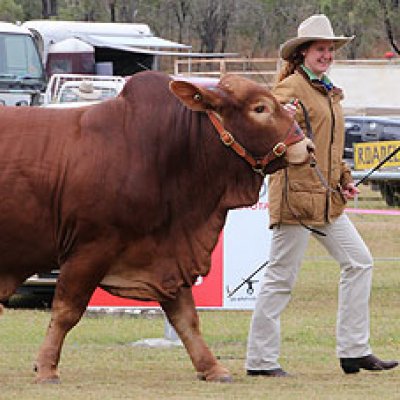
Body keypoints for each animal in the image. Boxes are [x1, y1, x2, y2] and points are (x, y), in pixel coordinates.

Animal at [0, 70, 312, 382]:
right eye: (260, 108)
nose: (308, 146)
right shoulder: (90, 249)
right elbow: (66, 312)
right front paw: (46, 367)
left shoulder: (169, 256)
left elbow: (186, 318)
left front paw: (211, 367)